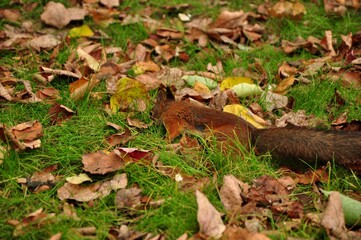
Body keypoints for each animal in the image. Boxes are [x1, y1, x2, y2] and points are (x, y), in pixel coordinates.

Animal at [151, 88, 360, 172]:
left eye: (153, 108)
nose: (150, 116)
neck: (169, 106)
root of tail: (252, 134)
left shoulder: (173, 120)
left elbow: (173, 132)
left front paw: (163, 141)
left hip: (218, 137)